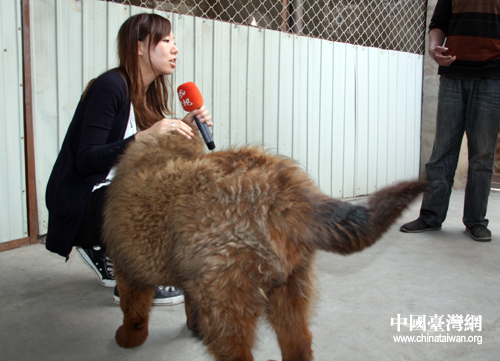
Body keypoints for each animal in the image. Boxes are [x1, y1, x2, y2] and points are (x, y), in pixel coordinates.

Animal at [103, 133, 428, 360]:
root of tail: (282, 193)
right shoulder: (191, 274)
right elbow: (188, 303)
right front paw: (191, 326)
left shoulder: (128, 268)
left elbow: (134, 311)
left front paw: (128, 337)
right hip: (291, 286)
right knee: (299, 344)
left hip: (229, 302)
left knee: (239, 353)